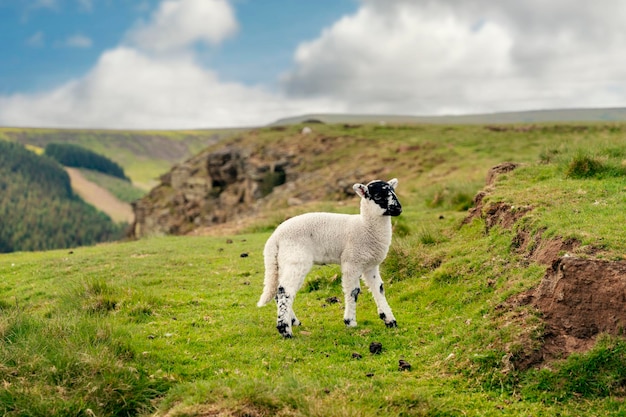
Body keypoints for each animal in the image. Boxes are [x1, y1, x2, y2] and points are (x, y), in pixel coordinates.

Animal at [258, 177, 400, 336]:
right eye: (377, 196)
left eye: (393, 191)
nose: (398, 209)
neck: (365, 227)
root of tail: (274, 238)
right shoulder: (352, 261)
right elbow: (353, 291)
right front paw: (350, 322)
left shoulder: (371, 266)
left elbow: (379, 289)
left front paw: (390, 320)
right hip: (296, 259)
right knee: (285, 290)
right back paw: (285, 330)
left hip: (283, 262)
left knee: (278, 292)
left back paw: (293, 321)